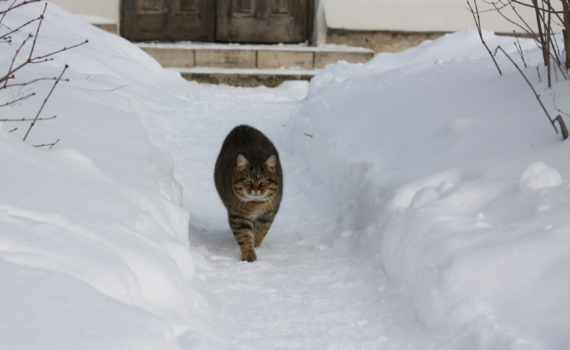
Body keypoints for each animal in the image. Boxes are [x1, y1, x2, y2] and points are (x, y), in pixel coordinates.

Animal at [213, 124, 282, 262]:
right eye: (248, 180)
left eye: (263, 180)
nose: (255, 189)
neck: (256, 204)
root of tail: (241, 126)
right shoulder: (238, 215)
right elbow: (244, 236)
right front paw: (249, 253)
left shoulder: (270, 212)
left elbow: (262, 230)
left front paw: (255, 243)